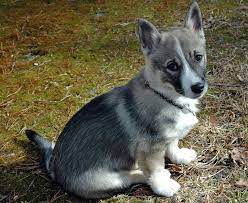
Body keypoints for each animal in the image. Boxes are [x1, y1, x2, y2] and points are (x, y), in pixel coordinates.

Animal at [24, 0, 207, 199]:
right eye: (172, 66)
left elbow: (173, 144)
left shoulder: (168, 137)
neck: (167, 96)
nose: (198, 87)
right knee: (133, 177)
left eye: (198, 57)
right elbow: (156, 170)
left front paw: (180, 156)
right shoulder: (151, 149)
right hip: (108, 179)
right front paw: (163, 186)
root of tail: (55, 170)